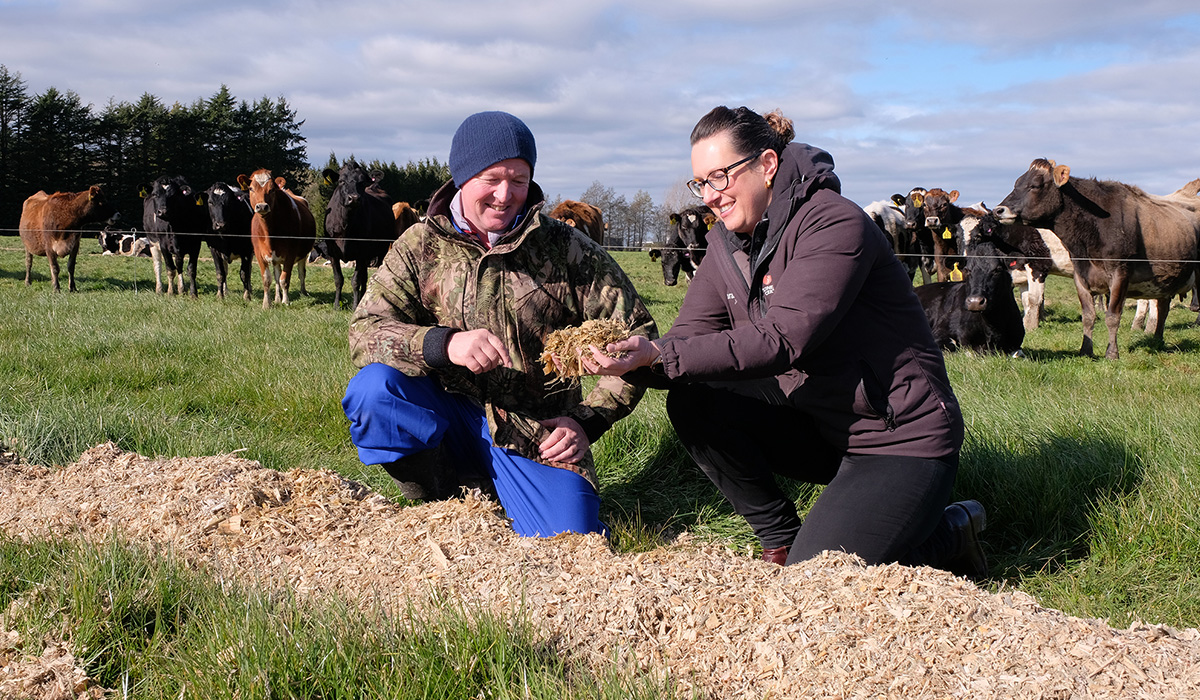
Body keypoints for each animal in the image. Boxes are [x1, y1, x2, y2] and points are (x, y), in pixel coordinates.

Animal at [235, 169, 314, 309]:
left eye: (271, 189)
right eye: (251, 188)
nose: (262, 206)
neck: (269, 233)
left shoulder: (291, 253)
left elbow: (285, 279)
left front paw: (286, 301)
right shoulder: (259, 254)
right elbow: (268, 279)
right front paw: (267, 304)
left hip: (303, 254)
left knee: (301, 273)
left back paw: (303, 293)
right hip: (276, 258)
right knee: (277, 275)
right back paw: (277, 298)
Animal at [321, 163, 396, 309]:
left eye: (361, 182)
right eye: (341, 181)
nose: (354, 198)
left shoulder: (361, 252)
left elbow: (355, 280)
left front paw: (355, 305)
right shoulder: (332, 252)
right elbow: (338, 279)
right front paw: (336, 305)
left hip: (382, 250)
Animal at [993, 160, 1200, 357]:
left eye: (1035, 185)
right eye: (1017, 183)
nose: (998, 210)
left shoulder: (1118, 275)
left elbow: (1112, 316)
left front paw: (1112, 353)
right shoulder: (1080, 276)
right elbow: (1087, 315)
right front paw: (1085, 350)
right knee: (1162, 308)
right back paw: (1156, 338)